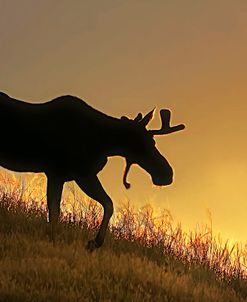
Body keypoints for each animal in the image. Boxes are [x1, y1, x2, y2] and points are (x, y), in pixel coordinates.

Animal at [0, 91, 184, 250]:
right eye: (145, 144)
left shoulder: (66, 175)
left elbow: (106, 204)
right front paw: (93, 242)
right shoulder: (69, 173)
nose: (166, 173)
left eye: (153, 142)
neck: (103, 142)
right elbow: (57, 212)